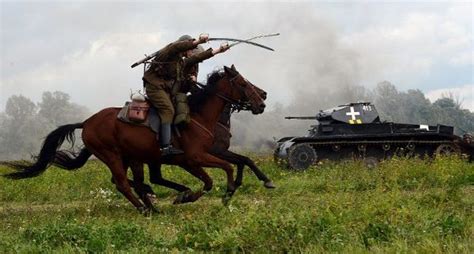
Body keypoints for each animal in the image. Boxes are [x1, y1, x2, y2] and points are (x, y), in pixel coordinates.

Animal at [5, 65, 266, 212]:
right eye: (242, 83)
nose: (262, 100)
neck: (198, 116)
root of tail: (86, 123)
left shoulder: (195, 158)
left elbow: (233, 165)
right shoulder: (195, 158)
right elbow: (220, 173)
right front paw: (225, 193)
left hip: (132, 157)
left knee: (132, 181)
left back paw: (152, 203)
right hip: (112, 155)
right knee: (122, 183)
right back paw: (144, 208)